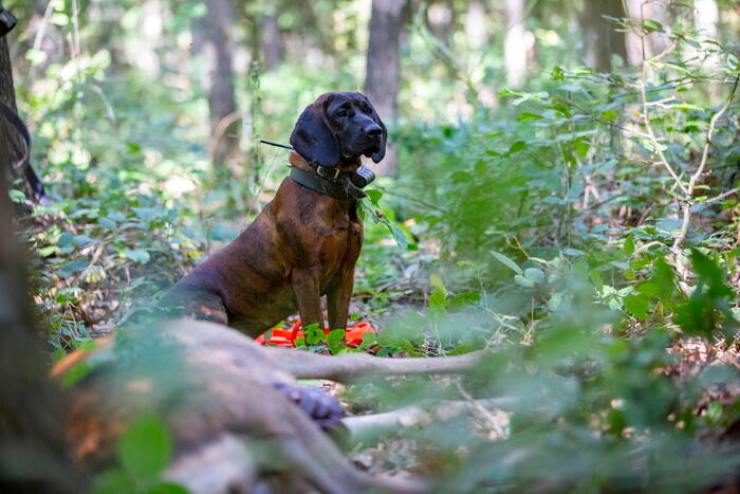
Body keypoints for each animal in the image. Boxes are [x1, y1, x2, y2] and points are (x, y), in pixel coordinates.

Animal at [163, 92, 388, 336]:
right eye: (341, 112)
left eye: (368, 110)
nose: (375, 130)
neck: (329, 191)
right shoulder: (305, 275)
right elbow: (316, 328)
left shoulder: (345, 275)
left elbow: (338, 332)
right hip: (210, 305)